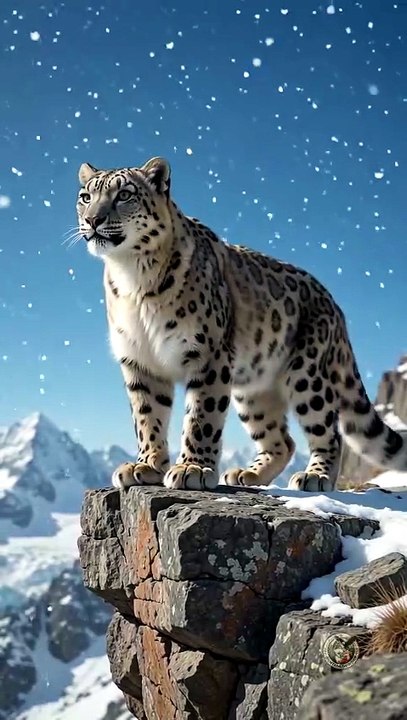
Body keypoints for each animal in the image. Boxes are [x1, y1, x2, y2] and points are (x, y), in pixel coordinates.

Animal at [76, 156, 407, 493]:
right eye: (86, 197)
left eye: (124, 195)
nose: (92, 220)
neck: (133, 277)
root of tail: (335, 306)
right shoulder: (140, 361)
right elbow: (147, 416)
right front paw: (147, 465)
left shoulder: (207, 355)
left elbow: (201, 416)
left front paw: (192, 469)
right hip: (253, 390)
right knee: (282, 440)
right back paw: (249, 474)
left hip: (308, 376)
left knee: (329, 431)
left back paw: (316, 476)